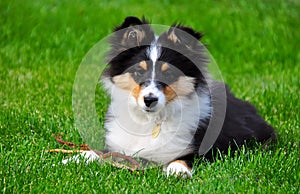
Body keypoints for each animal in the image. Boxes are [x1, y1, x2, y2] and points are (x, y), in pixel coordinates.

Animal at [66, 16, 276, 177]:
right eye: (138, 72)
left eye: (168, 74)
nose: (149, 100)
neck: (150, 121)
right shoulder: (120, 144)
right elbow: (102, 152)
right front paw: (76, 158)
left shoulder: (203, 148)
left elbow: (186, 157)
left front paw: (177, 170)